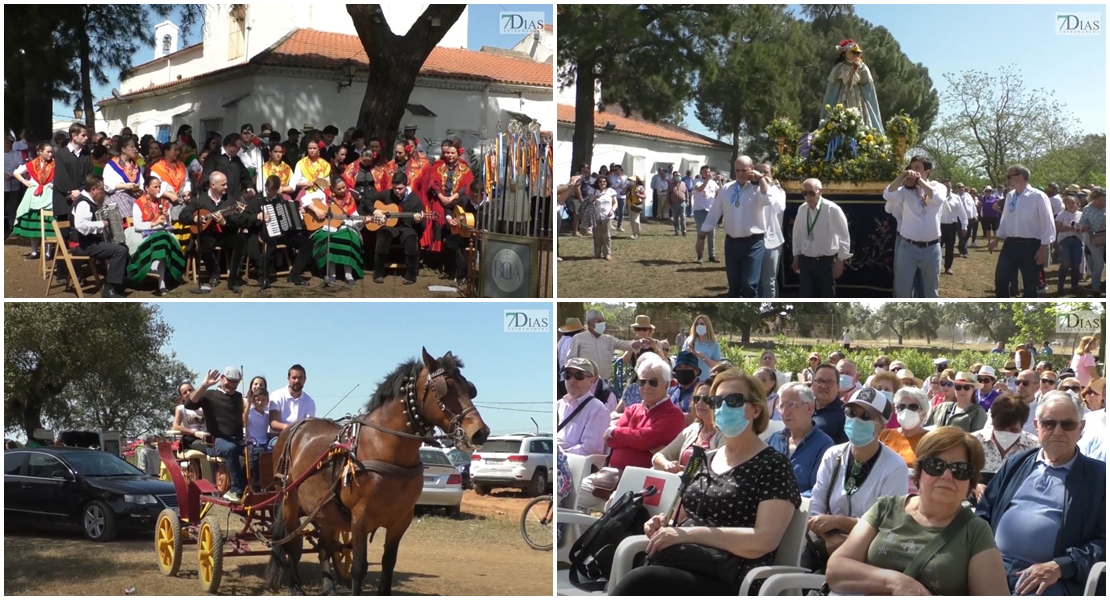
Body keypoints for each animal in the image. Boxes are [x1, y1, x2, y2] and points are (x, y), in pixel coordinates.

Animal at [264, 348, 490, 590]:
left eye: (468, 388)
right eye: (445, 386)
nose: (480, 432)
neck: (383, 448)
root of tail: (292, 429)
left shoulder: (401, 520)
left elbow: (388, 563)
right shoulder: (360, 518)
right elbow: (359, 567)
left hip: (324, 508)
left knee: (325, 546)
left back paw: (328, 588)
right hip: (289, 500)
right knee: (292, 544)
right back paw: (297, 586)